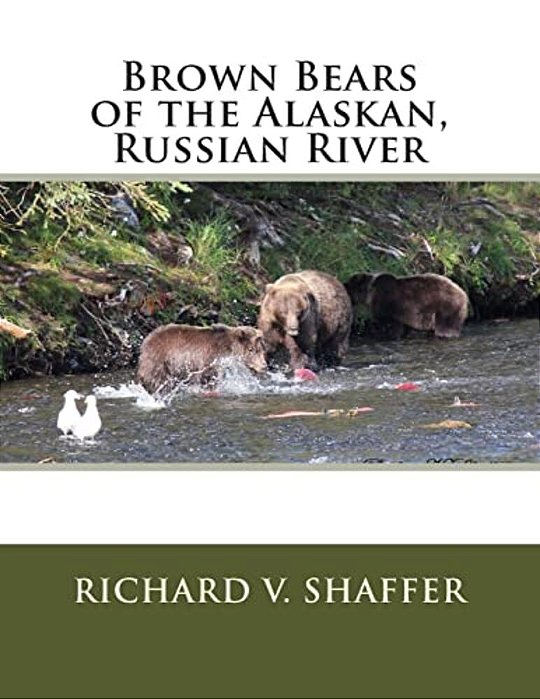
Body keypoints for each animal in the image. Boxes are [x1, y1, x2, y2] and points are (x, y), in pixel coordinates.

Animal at [137, 324, 267, 395]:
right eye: (251, 349)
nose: (264, 366)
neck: (229, 350)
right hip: (160, 360)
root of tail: (146, 340)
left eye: (260, 349)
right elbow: (209, 377)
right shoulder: (210, 358)